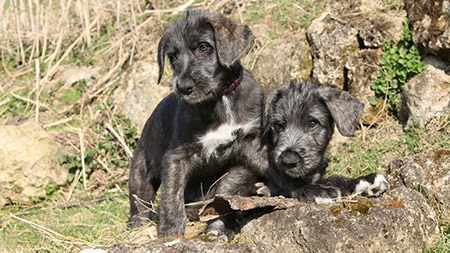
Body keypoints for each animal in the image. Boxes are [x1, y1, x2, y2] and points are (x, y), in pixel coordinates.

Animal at [127, 10, 264, 239]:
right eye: (172, 56)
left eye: (203, 47)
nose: (183, 87)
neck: (219, 99)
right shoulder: (176, 157)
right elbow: (171, 196)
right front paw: (171, 230)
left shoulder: (251, 143)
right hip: (140, 172)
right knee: (140, 204)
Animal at [260, 80, 390, 203]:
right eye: (279, 125)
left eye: (313, 123)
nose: (289, 160)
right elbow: (284, 179)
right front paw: (316, 190)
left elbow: (334, 178)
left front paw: (362, 181)